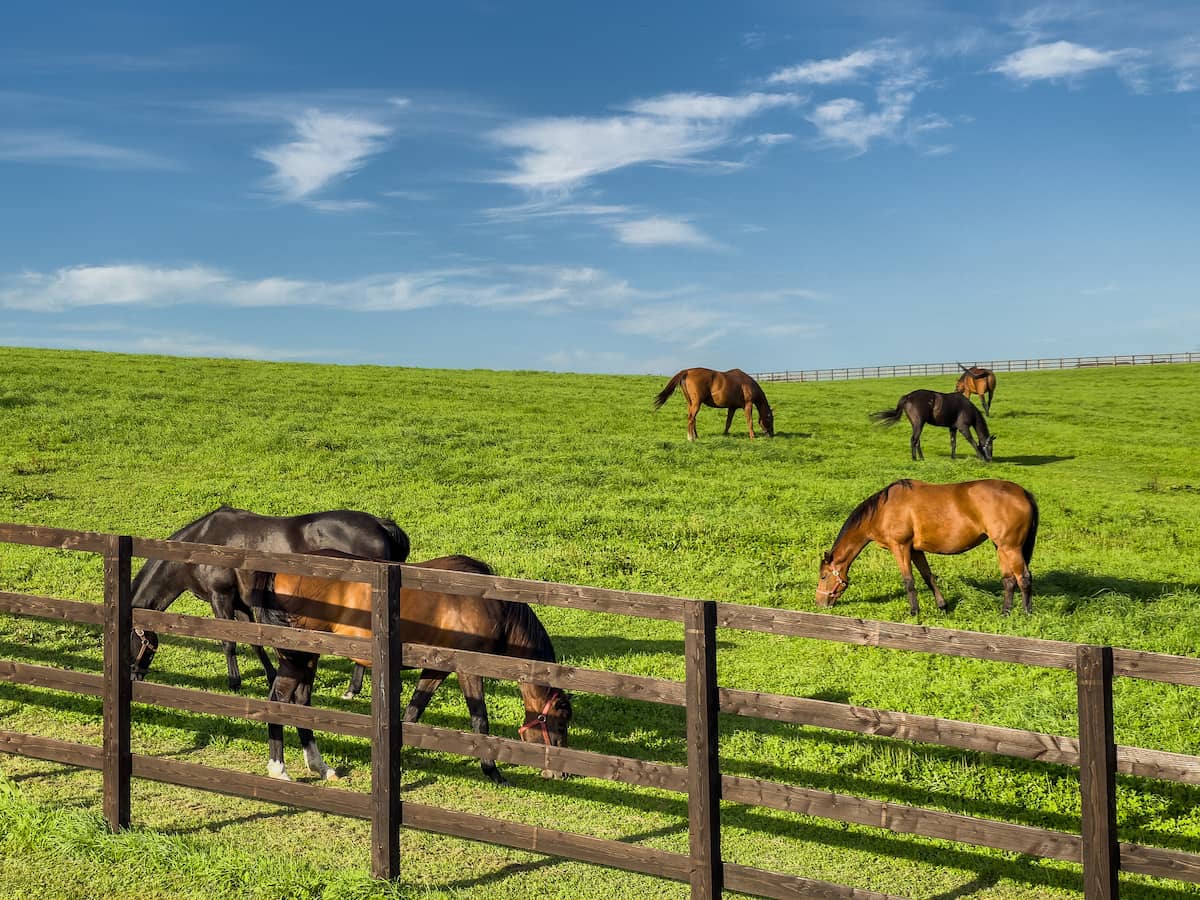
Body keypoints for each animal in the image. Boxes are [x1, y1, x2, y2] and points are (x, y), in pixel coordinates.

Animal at [127, 511, 408, 696]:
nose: (133, 674)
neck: (199, 544)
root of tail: (380, 524)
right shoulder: (240, 603)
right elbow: (255, 641)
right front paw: (271, 676)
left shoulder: (221, 597)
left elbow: (228, 642)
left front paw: (234, 682)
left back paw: (352, 689)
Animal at [248, 554, 571, 787]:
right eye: (561, 720)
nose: (563, 773)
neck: (488, 603)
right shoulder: (468, 670)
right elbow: (480, 721)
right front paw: (492, 772)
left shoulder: (437, 669)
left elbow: (414, 710)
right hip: (298, 656)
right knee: (278, 700)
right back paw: (279, 769)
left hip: (308, 656)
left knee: (300, 703)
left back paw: (321, 767)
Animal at [816, 480, 1041, 619]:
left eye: (823, 576)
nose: (819, 603)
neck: (883, 509)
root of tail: (1023, 493)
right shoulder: (916, 550)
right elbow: (928, 577)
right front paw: (942, 606)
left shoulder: (900, 547)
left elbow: (909, 581)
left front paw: (914, 612)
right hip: (1001, 547)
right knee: (1009, 580)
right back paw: (1005, 613)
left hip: (1011, 548)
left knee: (1024, 578)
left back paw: (1027, 615)